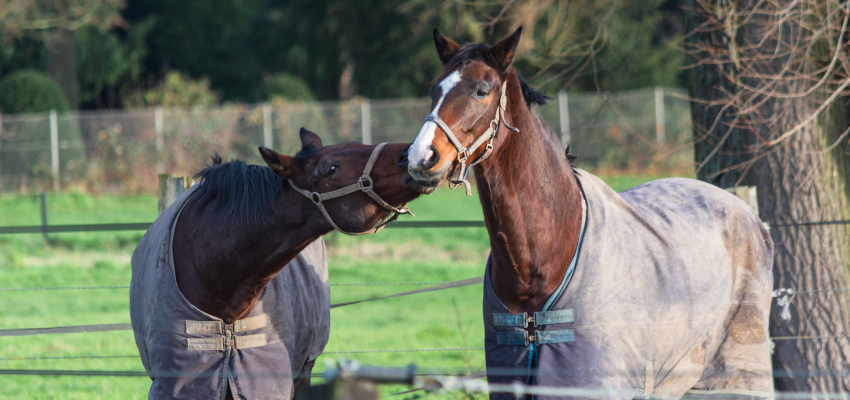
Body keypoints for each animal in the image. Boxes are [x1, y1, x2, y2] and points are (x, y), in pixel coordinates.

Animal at [408, 28, 772, 400]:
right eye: (434, 90)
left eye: (482, 90)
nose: (421, 158)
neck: (538, 267)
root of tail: (749, 214)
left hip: (731, 375)